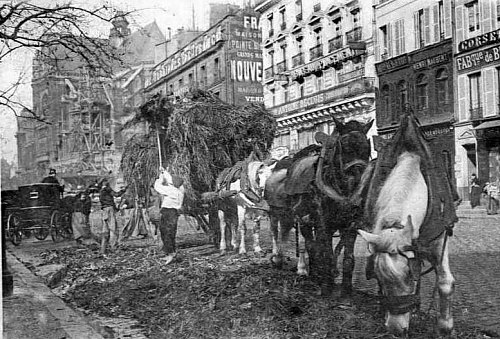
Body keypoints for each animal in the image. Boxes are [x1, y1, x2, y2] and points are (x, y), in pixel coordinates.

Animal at [358, 153, 456, 338]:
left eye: (409, 275)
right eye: (378, 276)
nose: (396, 329)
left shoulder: (439, 242)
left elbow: (445, 282)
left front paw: (445, 327)